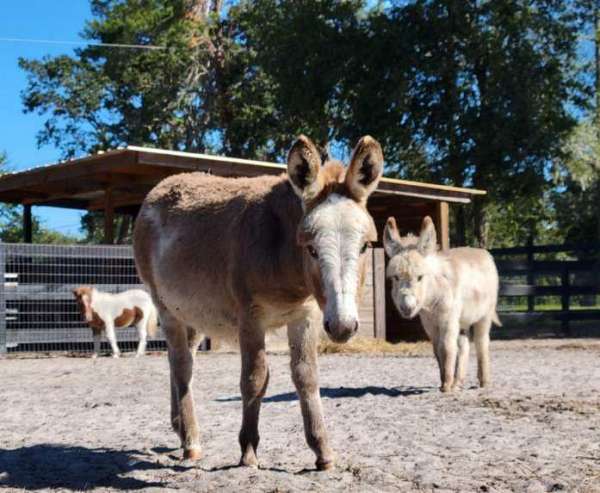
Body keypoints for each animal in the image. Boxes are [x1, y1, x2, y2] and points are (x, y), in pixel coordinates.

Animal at [133, 135, 382, 468]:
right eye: (312, 249)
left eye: (366, 246)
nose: (343, 327)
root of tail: (162, 185)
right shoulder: (251, 318)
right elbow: (255, 378)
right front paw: (248, 450)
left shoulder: (306, 317)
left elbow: (306, 376)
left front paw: (323, 451)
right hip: (165, 307)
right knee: (182, 365)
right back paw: (191, 442)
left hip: (192, 314)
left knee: (182, 360)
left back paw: (180, 427)